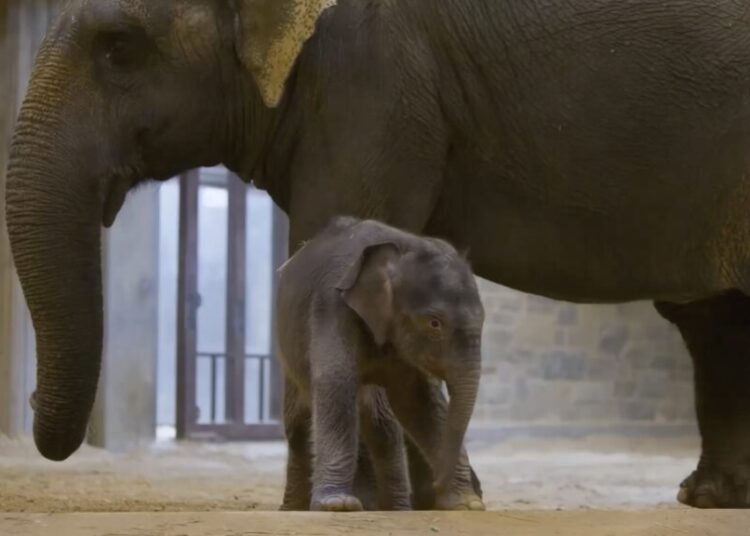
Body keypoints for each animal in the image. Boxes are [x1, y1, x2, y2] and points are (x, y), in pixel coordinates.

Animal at [276, 216, 485, 512]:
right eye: (434, 323)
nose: (436, 487)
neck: (401, 249)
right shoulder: (331, 306)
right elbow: (336, 382)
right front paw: (338, 505)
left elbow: (416, 400)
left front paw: (467, 505)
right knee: (300, 422)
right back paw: (296, 509)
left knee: (381, 423)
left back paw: (393, 508)